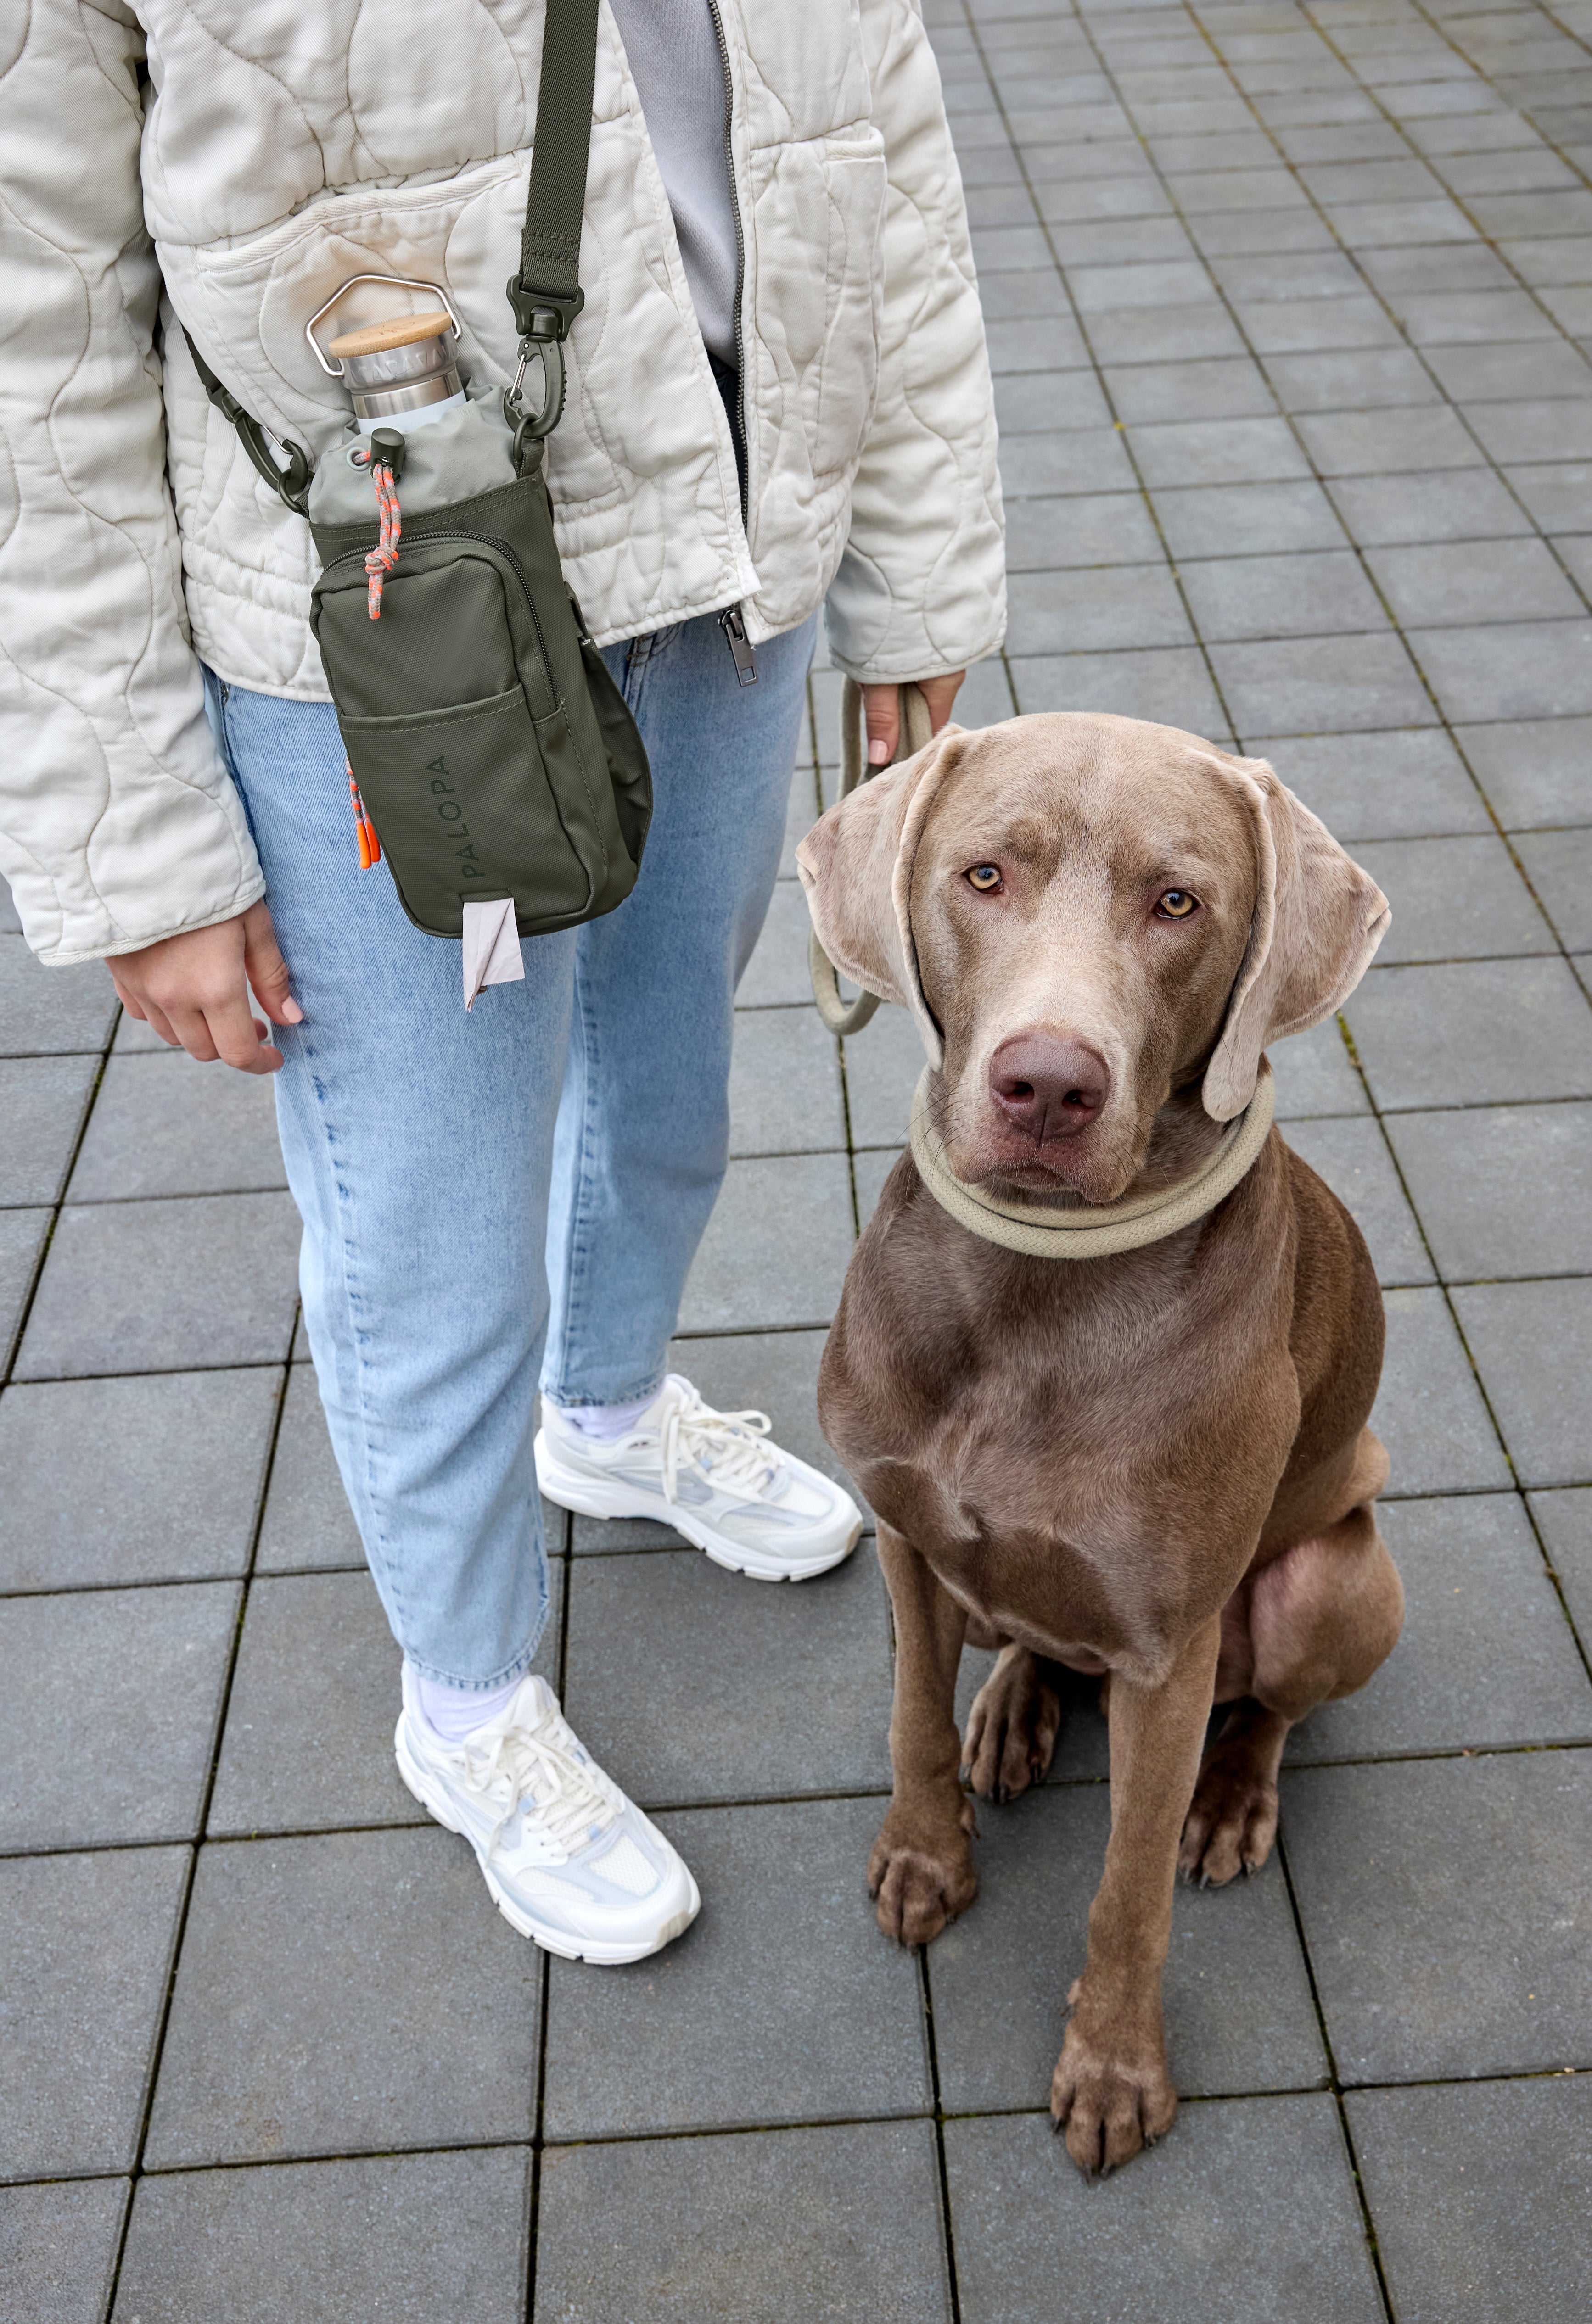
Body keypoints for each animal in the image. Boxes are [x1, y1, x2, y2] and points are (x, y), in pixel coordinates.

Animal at [799, 711, 1394, 2175]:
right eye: (983, 876)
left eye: (1178, 902)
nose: (1048, 1085)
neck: (1029, 1297)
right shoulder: (904, 1537)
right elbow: (908, 1715)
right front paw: (925, 1859)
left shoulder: (1167, 1656)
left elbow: (1124, 1888)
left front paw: (1116, 2070)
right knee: (1024, 1633)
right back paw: (1013, 1707)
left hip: (1334, 1579)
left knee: (1272, 1708)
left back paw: (1231, 1801)